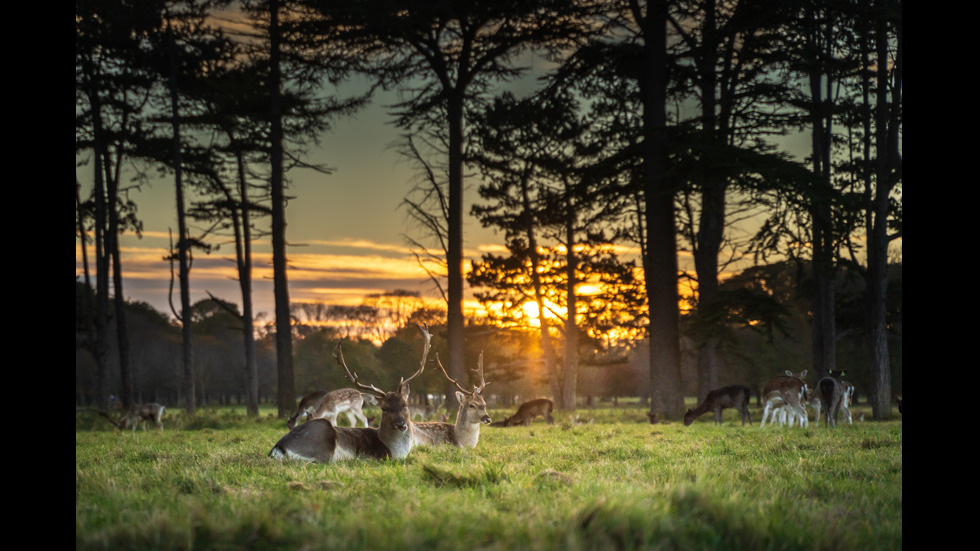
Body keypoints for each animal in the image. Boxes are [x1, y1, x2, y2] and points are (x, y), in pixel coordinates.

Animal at [270, 324, 434, 462]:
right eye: (384, 408)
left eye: (405, 404)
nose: (401, 425)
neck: (395, 451)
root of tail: (279, 447)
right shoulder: (370, 455)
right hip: (323, 440)